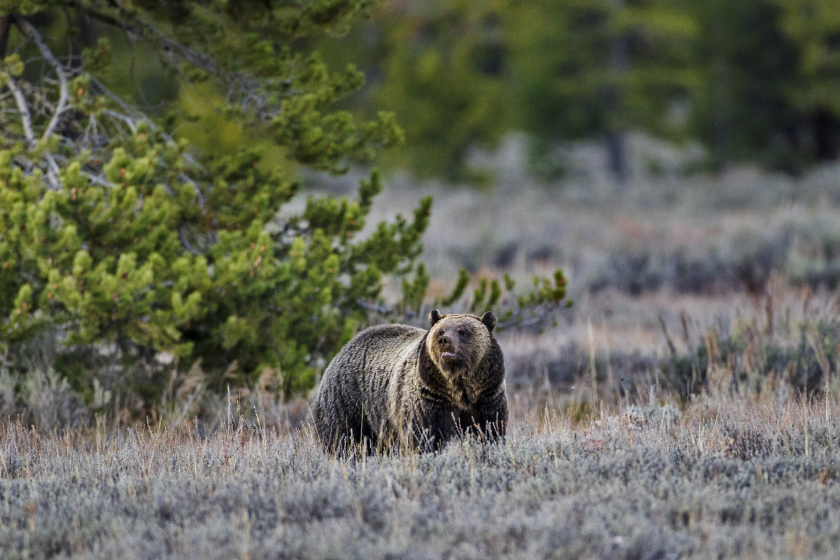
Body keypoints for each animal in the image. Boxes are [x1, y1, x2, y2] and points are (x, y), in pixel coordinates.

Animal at [311, 309, 507, 455]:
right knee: (343, 438)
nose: (444, 340)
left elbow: (490, 430)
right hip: (349, 401)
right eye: (441, 330)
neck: (457, 386)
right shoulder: (429, 398)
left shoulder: (486, 396)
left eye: (462, 331)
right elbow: (424, 435)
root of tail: (343, 349)